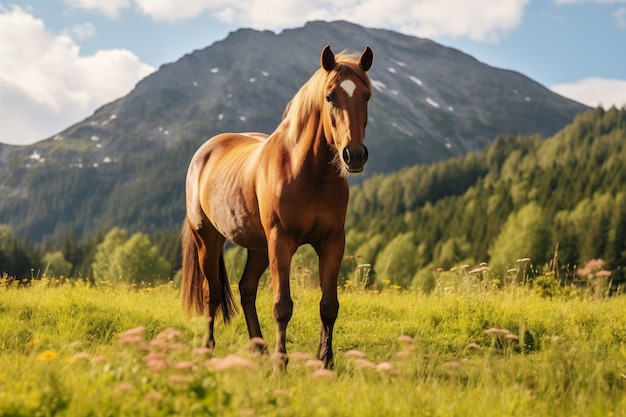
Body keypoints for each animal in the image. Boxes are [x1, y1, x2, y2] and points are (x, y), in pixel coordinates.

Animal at [183, 44, 372, 366]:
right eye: (330, 96)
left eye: (367, 95)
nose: (355, 154)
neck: (306, 171)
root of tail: (204, 152)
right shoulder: (281, 241)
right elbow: (282, 306)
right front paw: (280, 364)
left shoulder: (333, 242)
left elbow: (329, 306)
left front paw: (325, 362)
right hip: (209, 239)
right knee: (212, 292)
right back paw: (208, 348)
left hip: (259, 247)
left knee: (246, 289)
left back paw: (258, 346)